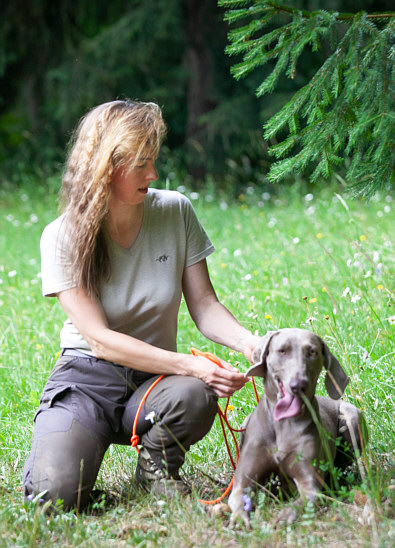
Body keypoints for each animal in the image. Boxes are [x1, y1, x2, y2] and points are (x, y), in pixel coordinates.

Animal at [230, 328, 366, 524]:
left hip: (352, 417)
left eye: (312, 352)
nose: (299, 385)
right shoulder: (243, 480)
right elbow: (237, 497)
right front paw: (239, 518)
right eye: (282, 351)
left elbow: (303, 500)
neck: (284, 424)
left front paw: (284, 516)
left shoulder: (310, 483)